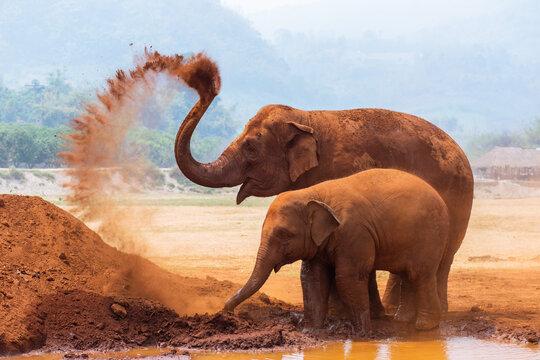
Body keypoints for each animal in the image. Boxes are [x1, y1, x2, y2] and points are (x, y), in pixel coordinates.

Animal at [176, 94, 472, 314]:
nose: (224, 310)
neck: (306, 118)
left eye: (251, 148)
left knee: (443, 256)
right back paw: (393, 310)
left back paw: (435, 311)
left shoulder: (342, 170)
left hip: (458, 198)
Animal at [221, 168, 450, 332]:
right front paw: (312, 331)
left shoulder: (353, 232)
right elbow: (312, 277)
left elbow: (347, 277)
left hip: (430, 235)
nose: (226, 311)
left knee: (420, 274)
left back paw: (424, 327)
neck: (313, 194)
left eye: (284, 234)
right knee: (407, 274)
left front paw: (364, 335)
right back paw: (402, 321)